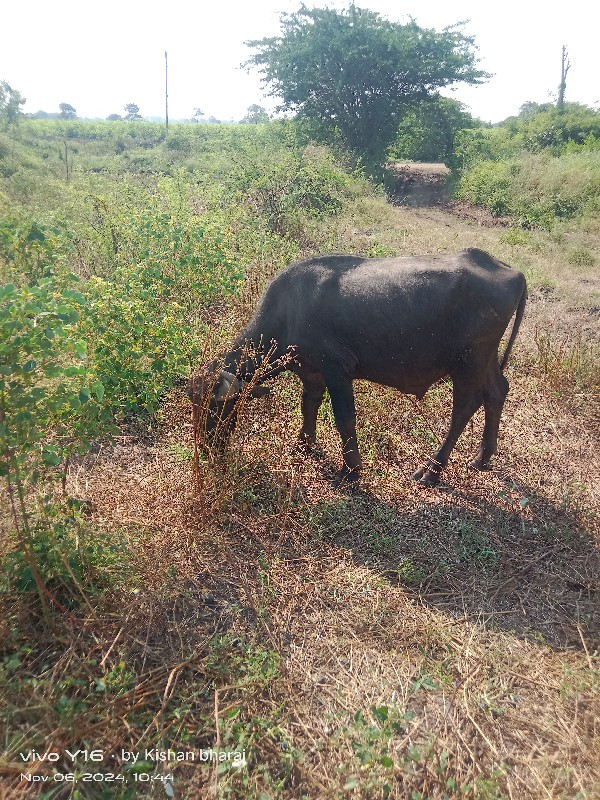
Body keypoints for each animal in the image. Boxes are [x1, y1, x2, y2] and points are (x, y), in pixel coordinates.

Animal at [189, 250, 524, 484]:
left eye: (215, 407)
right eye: (194, 404)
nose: (205, 447)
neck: (290, 312)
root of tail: (511, 271)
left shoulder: (336, 370)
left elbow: (344, 418)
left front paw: (351, 470)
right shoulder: (311, 371)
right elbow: (308, 404)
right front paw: (304, 443)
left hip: (469, 362)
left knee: (464, 408)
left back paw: (432, 470)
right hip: (486, 359)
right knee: (497, 392)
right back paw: (482, 457)